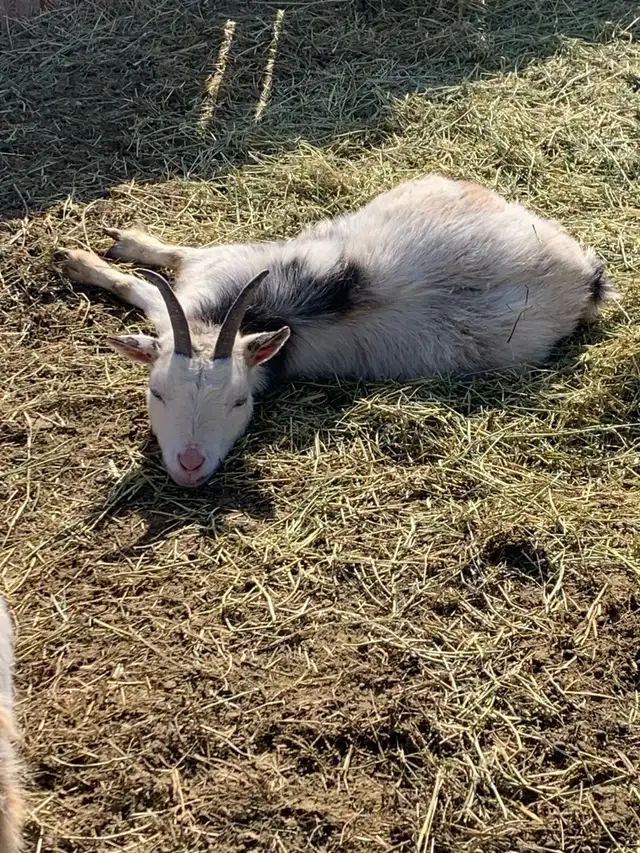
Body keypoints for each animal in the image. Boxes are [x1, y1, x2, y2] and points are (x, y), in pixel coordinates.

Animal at [59, 173, 614, 486]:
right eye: (157, 393)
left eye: (240, 402)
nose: (190, 465)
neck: (262, 315)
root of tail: (583, 274)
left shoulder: (211, 271)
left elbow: (146, 281)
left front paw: (86, 257)